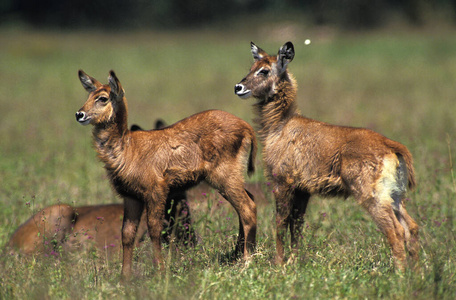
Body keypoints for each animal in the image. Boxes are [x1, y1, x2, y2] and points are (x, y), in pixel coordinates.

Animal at [76, 70, 258, 278]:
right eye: (88, 95)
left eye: (103, 98)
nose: (79, 114)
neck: (127, 150)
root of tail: (246, 126)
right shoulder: (131, 196)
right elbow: (127, 234)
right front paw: (125, 278)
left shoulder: (156, 191)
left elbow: (156, 229)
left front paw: (161, 272)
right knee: (248, 202)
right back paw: (237, 255)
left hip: (224, 176)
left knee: (247, 207)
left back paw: (247, 262)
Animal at [235, 41, 420, 270]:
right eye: (251, 67)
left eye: (264, 70)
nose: (238, 87)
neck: (279, 126)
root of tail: (393, 147)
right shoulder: (303, 190)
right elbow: (297, 225)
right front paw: (293, 262)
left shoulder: (282, 182)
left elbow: (281, 222)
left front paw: (279, 264)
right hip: (395, 196)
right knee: (411, 227)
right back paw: (418, 273)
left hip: (373, 196)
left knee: (395, 231)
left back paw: (400, 274)